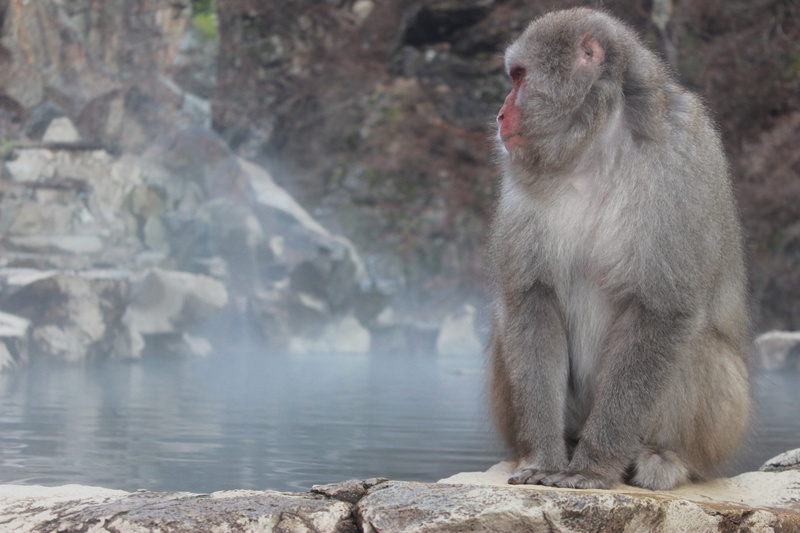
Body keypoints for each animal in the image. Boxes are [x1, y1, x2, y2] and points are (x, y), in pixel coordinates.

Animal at [487, 8, 751, 491]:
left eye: (519, 76)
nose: (500, 114)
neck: (599, 143)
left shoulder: (680, 156)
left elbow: (662, 310)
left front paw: (592, 466)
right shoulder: (521, 177)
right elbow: (533, 301)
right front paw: (544, 456)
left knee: (698, 343)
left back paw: (663, 457)